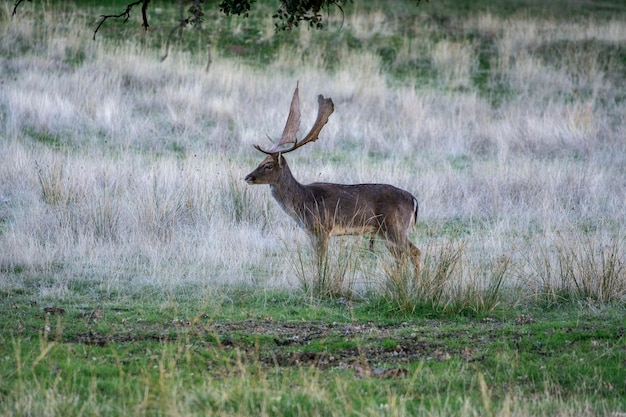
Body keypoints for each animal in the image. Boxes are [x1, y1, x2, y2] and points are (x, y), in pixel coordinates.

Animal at [244, 83, 420, 274]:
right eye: (261, 161)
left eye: (268, 165)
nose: (248, 177)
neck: (301, 203)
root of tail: (413, 199)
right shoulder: (311, 233)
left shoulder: (322, 227)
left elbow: (321, 262)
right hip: (385, 231)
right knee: (403, 255)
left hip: (395, 226)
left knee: (413, 252)